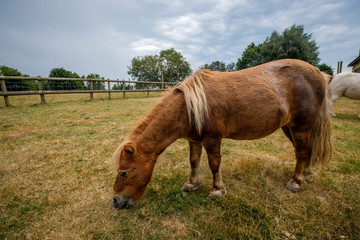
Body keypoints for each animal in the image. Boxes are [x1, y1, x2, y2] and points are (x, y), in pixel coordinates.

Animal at [112, 58, 332, 208]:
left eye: (124, 172)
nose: (115, 201)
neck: (190, 107)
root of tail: (317, 72)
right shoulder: (194, 140)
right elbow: (194, 161)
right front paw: (191, 184)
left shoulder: (212, 140)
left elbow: (214, 164)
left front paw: (217, 190)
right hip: (289, 127)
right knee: (305, 150)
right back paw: (305, 173)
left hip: (301, 127)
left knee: (302, 151)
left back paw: (296, 182)